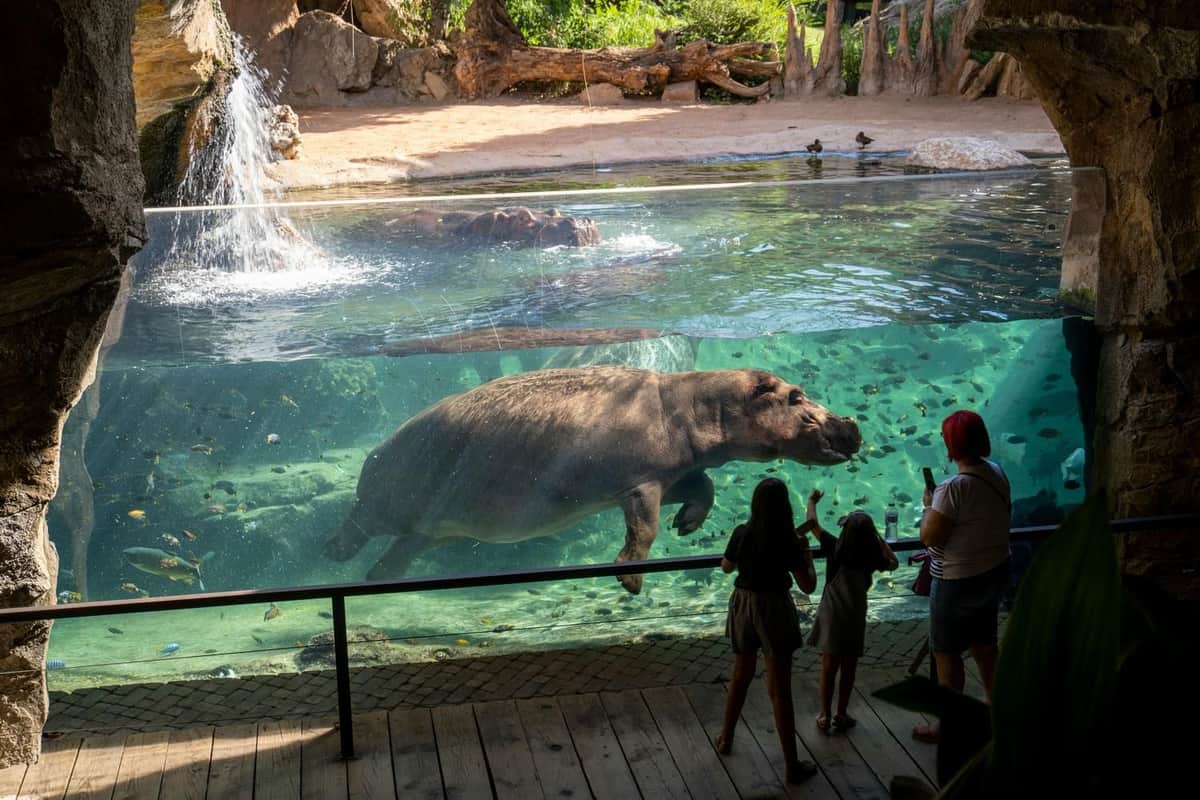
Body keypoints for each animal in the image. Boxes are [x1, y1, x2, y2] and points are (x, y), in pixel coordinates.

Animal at [323, 366, 861, 593]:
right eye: (795, 396)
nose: (851, 425)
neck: (699, 404)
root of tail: (373, 455)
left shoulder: (674, 473)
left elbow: (702, 487)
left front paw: (687, 525)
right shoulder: (641, 483)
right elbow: (644, 530)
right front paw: (631, 582)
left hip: (430, 530)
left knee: (395, 552)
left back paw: (375, 579)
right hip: (383, 504)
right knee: (356, 526)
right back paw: (336, 554)